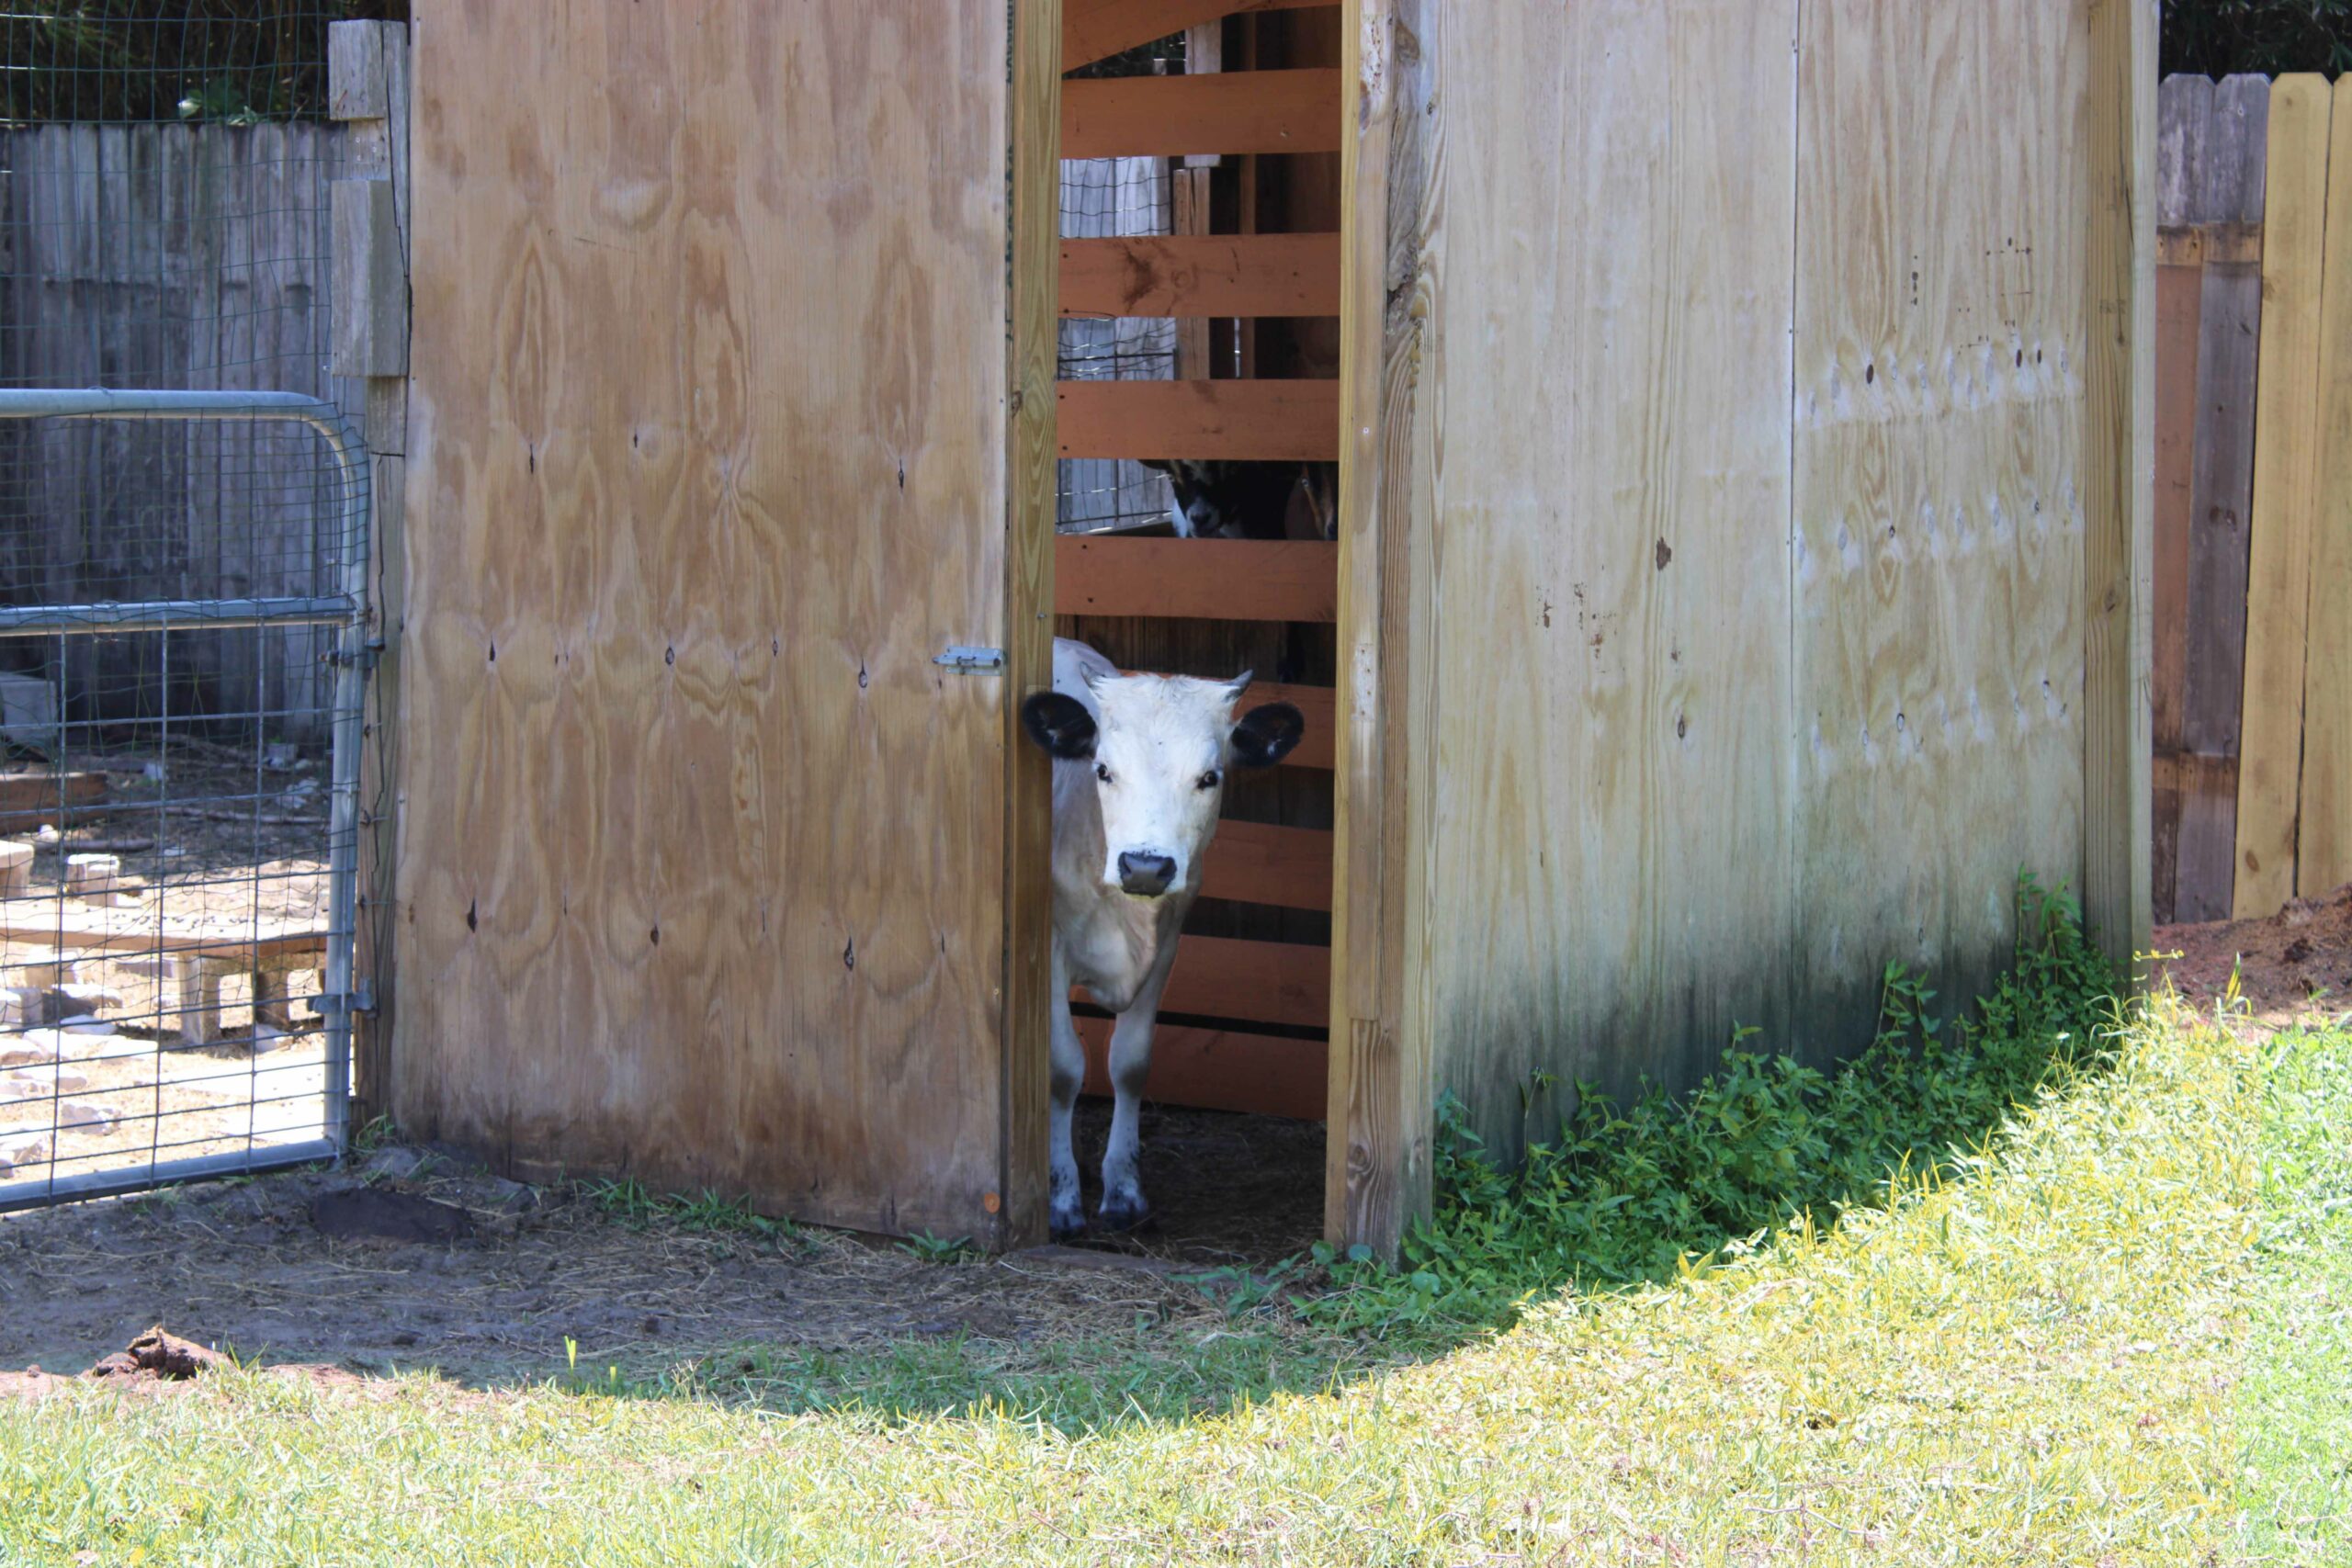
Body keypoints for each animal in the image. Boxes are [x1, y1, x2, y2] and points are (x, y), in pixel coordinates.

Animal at [1015, 639, 1307, 1241]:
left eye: (1209, 777)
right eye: (1103, 769)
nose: (1145, 866)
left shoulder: (1168, 943)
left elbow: (1130, 1062)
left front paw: (1123, 1189)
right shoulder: (1047, 950)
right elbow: (1061, 1068)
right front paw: (1060, 1197)